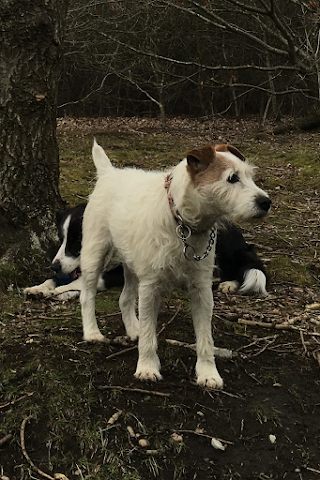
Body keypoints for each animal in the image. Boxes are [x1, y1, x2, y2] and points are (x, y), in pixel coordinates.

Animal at [23, 205, 268, 300]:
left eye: (78, 241)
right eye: (61, 239)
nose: (53, 265)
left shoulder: (116, 274)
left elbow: (79, 281)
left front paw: (58, 291)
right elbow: (61, 280)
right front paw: (40, 287)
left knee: (238, 269)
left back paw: (228, 283)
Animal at [80, 141, 270, 388]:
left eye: (250, 176)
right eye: (232, 178)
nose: (266, 202)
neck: (182, 222)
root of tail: (109, 173)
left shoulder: (201, 290)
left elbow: (205, 339)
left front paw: (208, 373)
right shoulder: (150, 288)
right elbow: (149, 336)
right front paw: (147, 367)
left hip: (132, 265)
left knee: (125, 299)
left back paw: (134, 328)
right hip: (94, 254)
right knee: (87, 295)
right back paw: (92, 332)